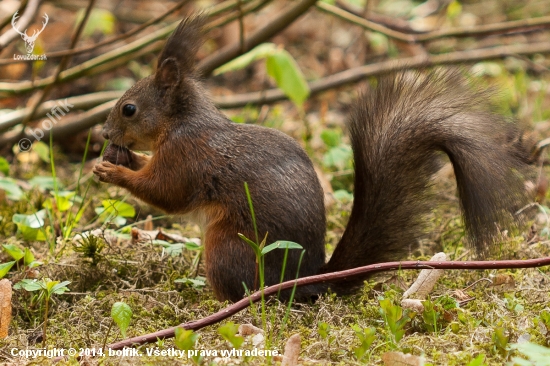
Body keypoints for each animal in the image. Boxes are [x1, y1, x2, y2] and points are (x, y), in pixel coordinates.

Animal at [95, 17, 536, 302]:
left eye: (129, 109)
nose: (104, 135)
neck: (181, 122)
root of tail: (308, 281)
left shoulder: (187, 157)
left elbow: (164, 193)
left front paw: (110, 169)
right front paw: (122, 158)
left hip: (226, 247)